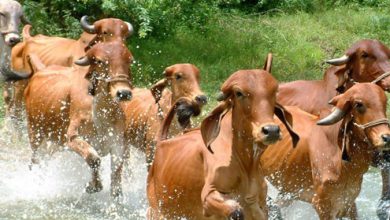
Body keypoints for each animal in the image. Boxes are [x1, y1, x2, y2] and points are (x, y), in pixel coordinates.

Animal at [25, 40, 134, 198]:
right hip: (35, 134)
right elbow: (94, 159)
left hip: (53, 143)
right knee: (34, 161)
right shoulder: (72, 137)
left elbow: (116, 178)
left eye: (129, 61)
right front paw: (93, 186)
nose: (124, 93)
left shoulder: (118, 143)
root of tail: (41, 70)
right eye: (100, 61)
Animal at [146, 54, 298, 219]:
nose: (271, 130)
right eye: (239, 93)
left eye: (275, 92)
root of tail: (162, 143)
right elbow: (235, 211)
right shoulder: (209, 196)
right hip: (156, 210)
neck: (246, 164)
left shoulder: (260, 202)